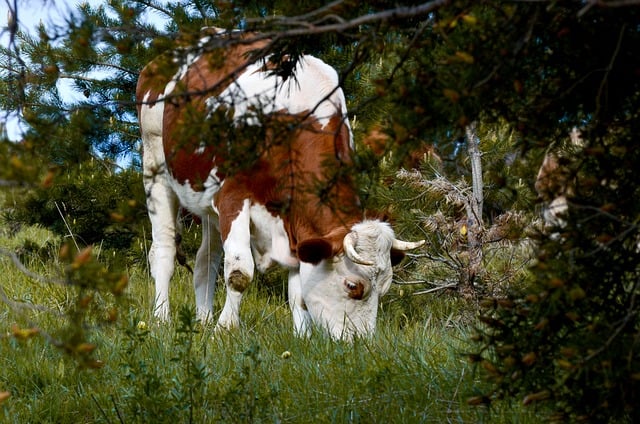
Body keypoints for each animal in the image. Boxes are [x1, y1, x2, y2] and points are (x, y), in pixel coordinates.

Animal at [136, 29, 424, 340]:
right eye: (352, 286)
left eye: (384, 289)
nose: (362, 343)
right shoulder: (233, 197)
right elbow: (240, 273)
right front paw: (224, 331)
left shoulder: (295, 224)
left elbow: (298, 291)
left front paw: (303, 338)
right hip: (155, 165)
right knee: (163, 250)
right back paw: (161, 318)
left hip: (206, 202)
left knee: (205, 260)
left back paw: (202, 320)